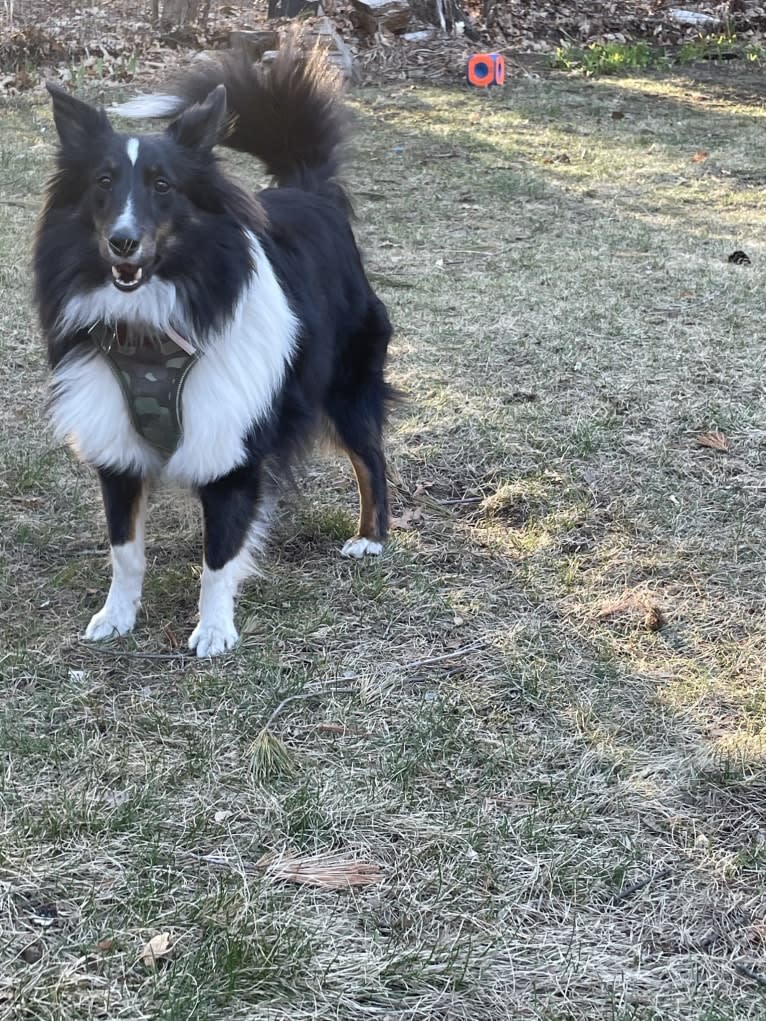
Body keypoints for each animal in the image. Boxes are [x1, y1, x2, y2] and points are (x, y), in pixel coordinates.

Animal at [34, 47, 396, 653]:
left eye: (163, 186)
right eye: (103, 181)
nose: (123, 242)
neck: (153, 321)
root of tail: (309, 190)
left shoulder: (231, 444)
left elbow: (220, 554)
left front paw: (214, 628)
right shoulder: (116, 444)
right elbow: (125, 550)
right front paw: (117, 616)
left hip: (347, 384)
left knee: (370, 458)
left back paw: (371, 537)